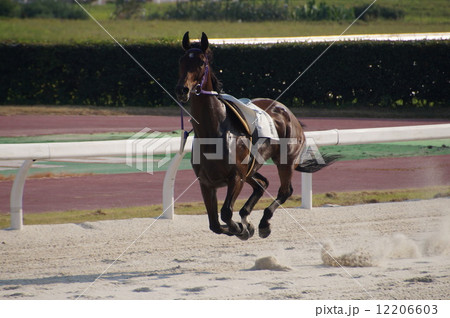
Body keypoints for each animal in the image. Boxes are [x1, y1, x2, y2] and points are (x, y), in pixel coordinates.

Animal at [176, 33, 334, 241]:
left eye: (201, 62)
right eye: (182, 60)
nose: (182, 90)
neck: (213, 132)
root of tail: (285, 110)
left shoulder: (236, 177)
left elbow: (225, 213)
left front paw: (242, 228)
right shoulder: (206, 182)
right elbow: (214, 224)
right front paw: (243, 226)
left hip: (285, 159)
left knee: (285, 190)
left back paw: (264, 222)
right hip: (252, 167)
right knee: (262, 184)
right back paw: (247, 216)